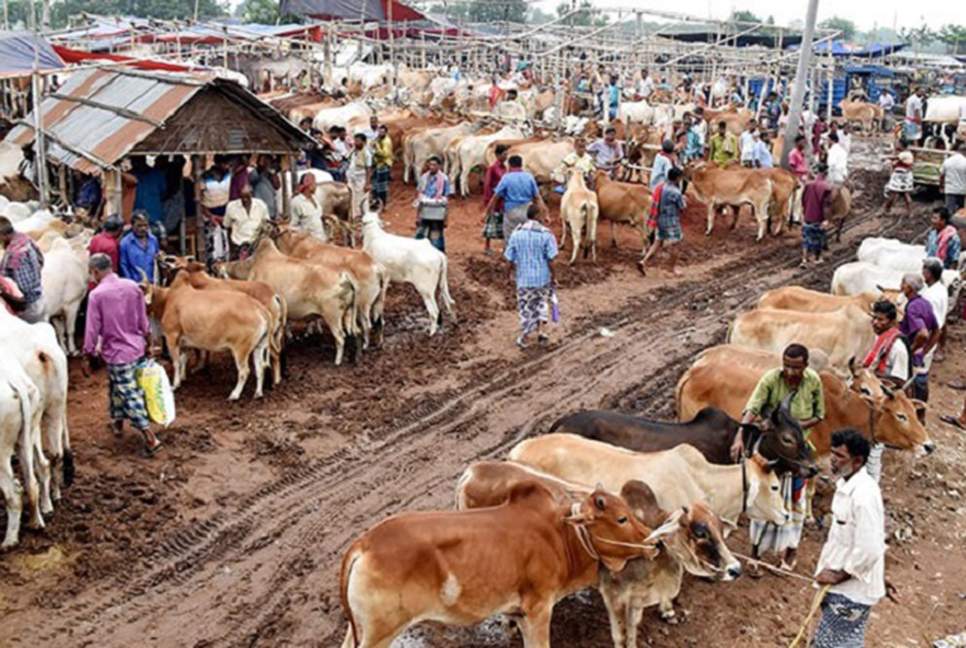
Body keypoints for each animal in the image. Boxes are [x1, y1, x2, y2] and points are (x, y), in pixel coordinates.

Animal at [338, 478, 656, 648]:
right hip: (380, 633)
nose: (654, 543)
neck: (560, 535)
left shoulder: (518, 613)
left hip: (360, 629)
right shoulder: (538, 609)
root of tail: (364, 544)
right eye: (621, 518)